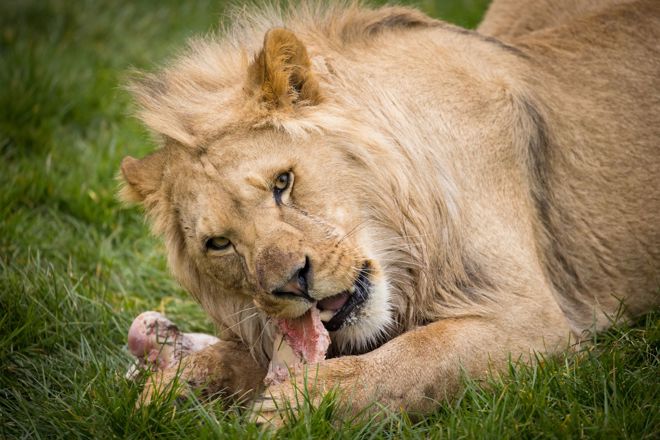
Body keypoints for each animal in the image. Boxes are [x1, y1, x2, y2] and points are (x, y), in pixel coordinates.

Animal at [118, 0, 660, 426]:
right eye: (219, 244)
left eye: (282, 182)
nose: (292, 283)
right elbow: (231, 358)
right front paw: (169, 390)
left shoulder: (535, 319)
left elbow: (424, 354)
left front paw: (303, 403)